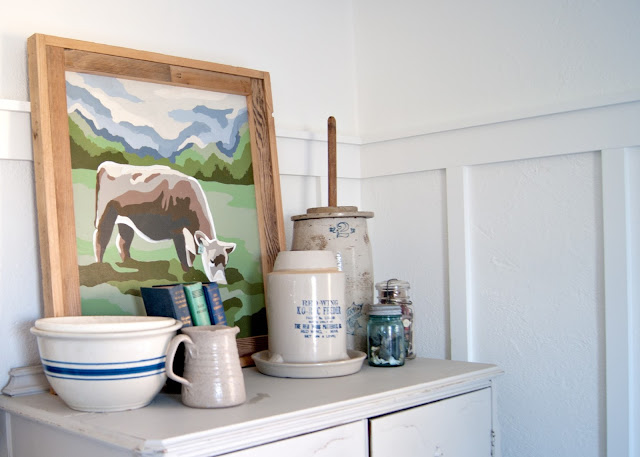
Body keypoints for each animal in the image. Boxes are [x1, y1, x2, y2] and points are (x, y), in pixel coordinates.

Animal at [94, 159, 236, 282]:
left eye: (226, 263)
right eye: (212, 260)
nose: (221, 282)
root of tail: (107, 164)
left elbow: (190, 254)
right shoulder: (178, 231)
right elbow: (183, 255)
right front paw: (187, 272)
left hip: (125, 219)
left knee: (123, 241)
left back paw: (129, 263)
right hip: (105, 214)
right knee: (101, 238)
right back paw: (100, 266)